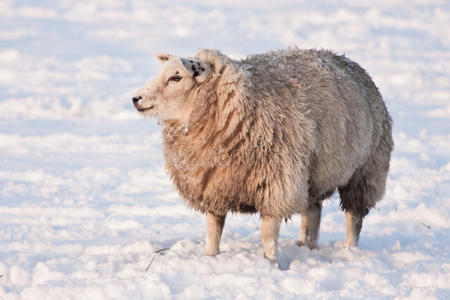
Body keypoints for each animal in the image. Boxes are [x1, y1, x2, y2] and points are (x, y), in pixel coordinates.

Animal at [133, 48, 394, 262]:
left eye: (176, 77)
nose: (136, 99)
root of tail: (348, 60)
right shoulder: (214, 185)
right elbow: (213, 229)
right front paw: (210, 257)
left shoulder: (275, 186)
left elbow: (268, 234)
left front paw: (271, 263)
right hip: (313, 174)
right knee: (313, 212)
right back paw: (305, 246)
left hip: (366, 170)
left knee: (354, 217)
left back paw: (349, 249)